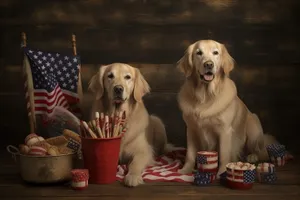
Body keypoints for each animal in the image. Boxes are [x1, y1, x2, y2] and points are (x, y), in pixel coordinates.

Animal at [176, 39, 278, 177]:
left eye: (215, 53)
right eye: (199, 53)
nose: (209, 64)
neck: (205, 97)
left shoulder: (224, 130)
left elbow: (224, 154)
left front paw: (222, 172)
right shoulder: (191, 129)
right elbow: (190, 155)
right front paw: (185, 170)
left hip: (253, 127)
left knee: (261, 152)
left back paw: (252, 156)